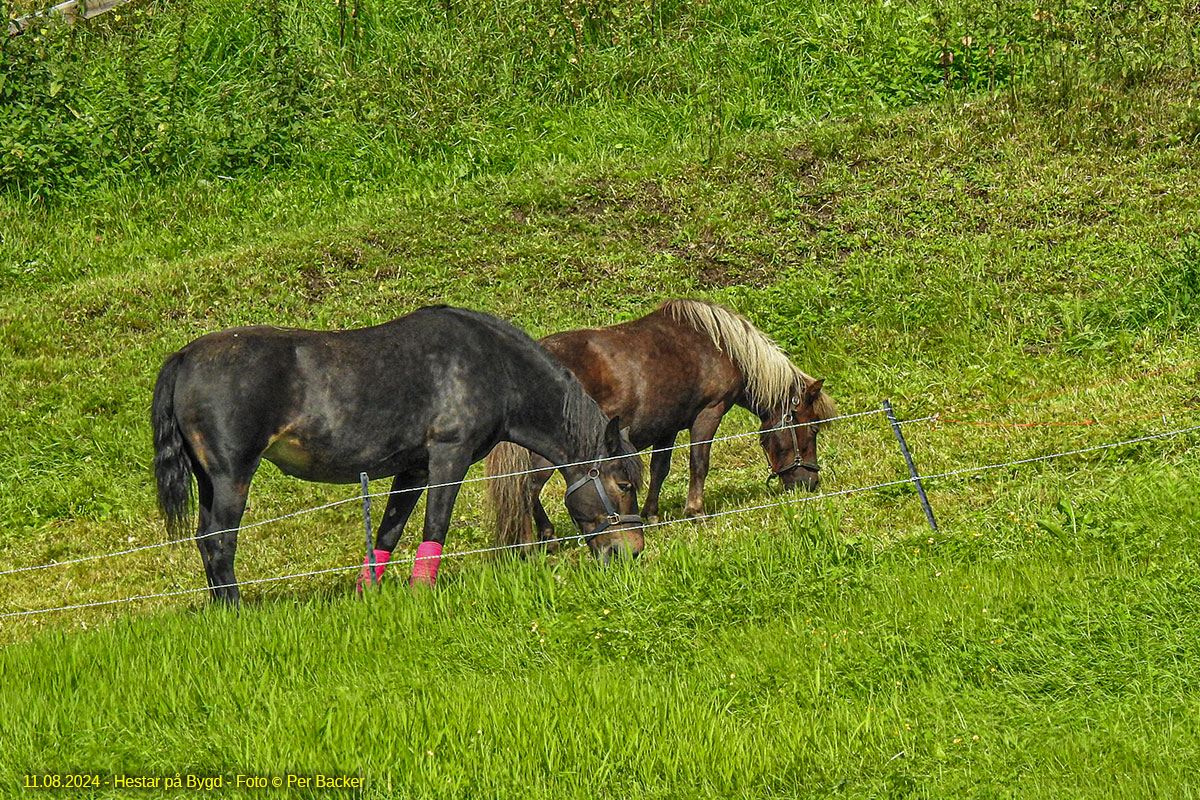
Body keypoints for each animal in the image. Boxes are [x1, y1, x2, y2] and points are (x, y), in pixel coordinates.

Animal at [152, 303, 648, 604]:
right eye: (623, 483)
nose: (632, 552)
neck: (495, 365)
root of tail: (184, 356)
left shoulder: (412, 469)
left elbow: (387, 534)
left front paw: (366, 596)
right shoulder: (449, 457)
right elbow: (434, 526)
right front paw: (421, 593)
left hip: (209, 480)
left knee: (205, 539)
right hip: (232, 475)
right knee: (218, 540)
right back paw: (235, 610)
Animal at [487, 299, 835, 551]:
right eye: (813, 429)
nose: (809, 483)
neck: (720, 347)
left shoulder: (666, 427)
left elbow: (659, 469)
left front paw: (651, 514)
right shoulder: (709, 413)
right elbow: (699, 463)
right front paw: (696, 512)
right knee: (527, 490)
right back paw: (534, 545)